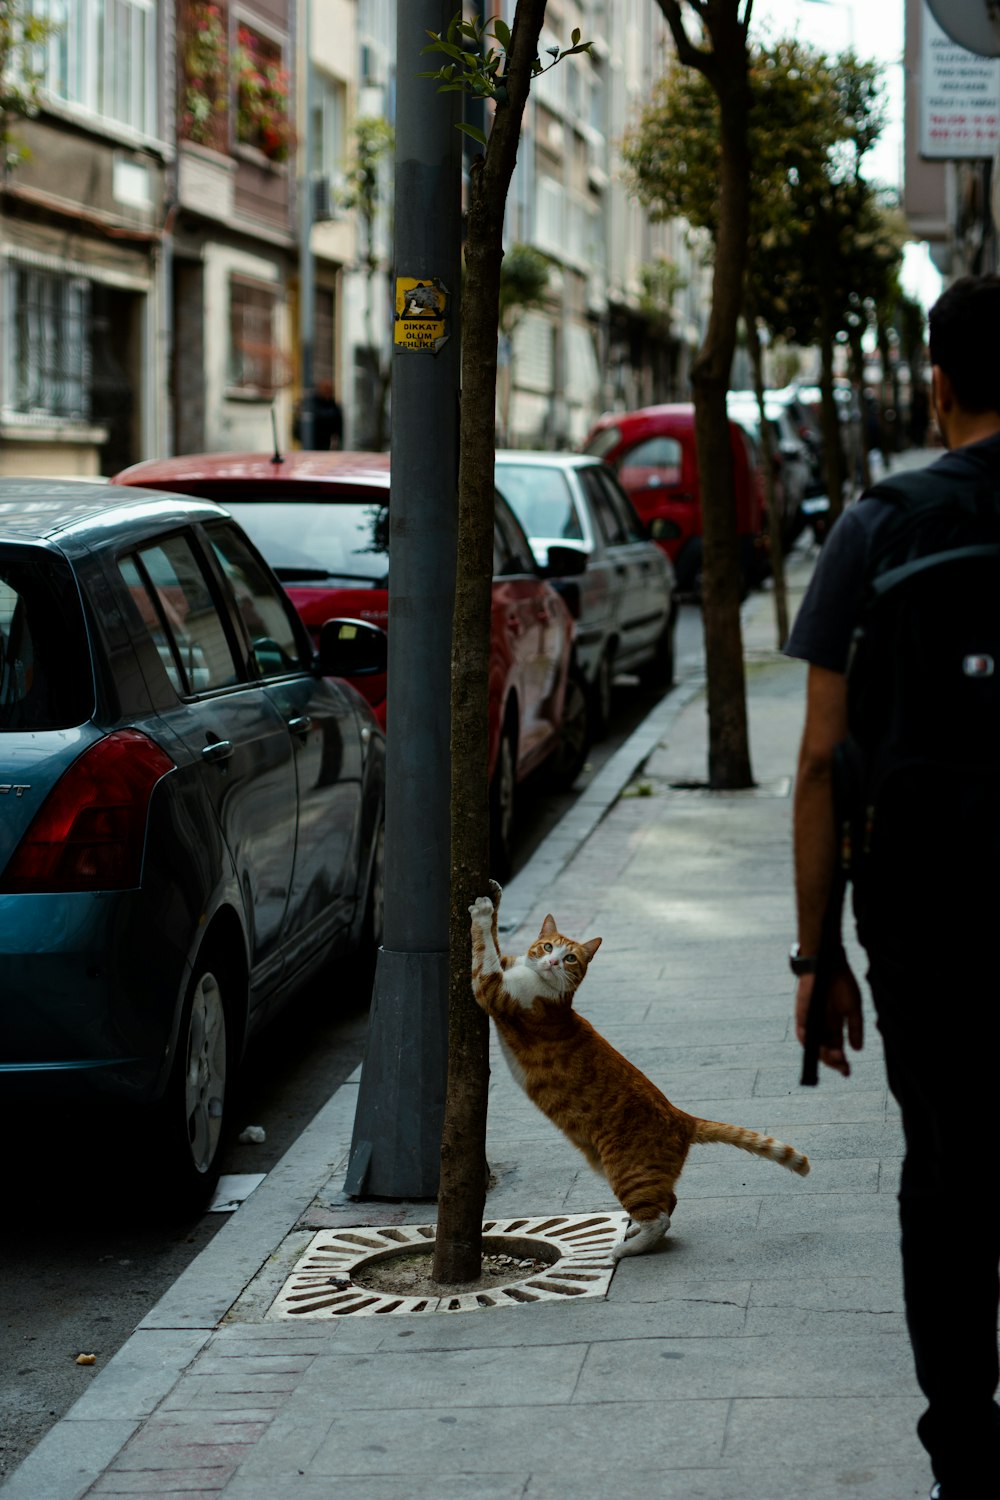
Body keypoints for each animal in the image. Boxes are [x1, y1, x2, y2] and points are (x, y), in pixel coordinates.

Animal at [470, 876, 815, 1254]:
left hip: (626, 1171)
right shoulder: (505, 968)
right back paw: (633, 1231)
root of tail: (683, 1118)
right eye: (546, 947)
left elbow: (482, 949)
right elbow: (495, 941)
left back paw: (626, 1247)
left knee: (660, 1218)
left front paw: (482, 910)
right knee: (670, 1202)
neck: (547, 988)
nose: (553, 962)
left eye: (570, 957)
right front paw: (494, 895)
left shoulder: (493, 991)